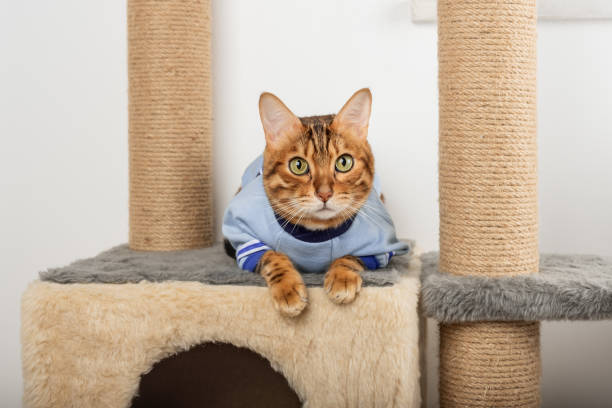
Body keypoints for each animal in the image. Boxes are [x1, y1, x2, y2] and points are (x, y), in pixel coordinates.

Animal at [222, 89, 408, 318]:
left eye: (344, 162)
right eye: (298, 165)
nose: (325, 193)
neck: (316, 235)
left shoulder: (379, 248)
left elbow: (349, 256)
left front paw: (341, 277)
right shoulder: (246, 241)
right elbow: (273, 256)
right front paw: (287, 288)